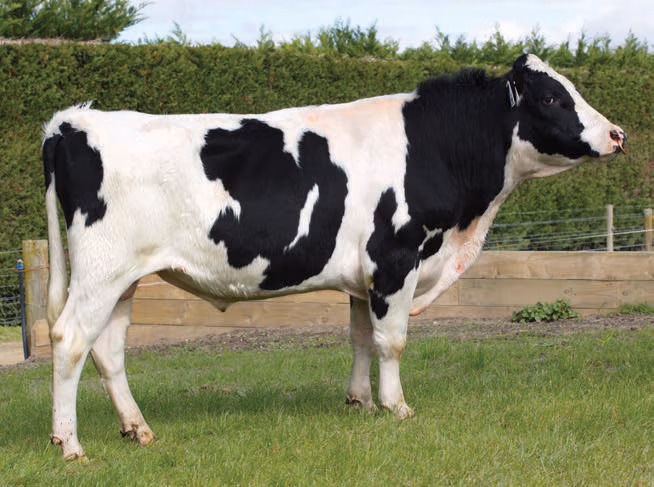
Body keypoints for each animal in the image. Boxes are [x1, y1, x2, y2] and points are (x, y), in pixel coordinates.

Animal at [42, 54, 625, 460]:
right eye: (551, 98)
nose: (617, 134)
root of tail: (73, 122)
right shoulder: (396, 257)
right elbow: (392, 341)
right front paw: (396, 407)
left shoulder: (366, 276)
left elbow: (361, 337)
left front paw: (360, 402)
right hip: (100, 272)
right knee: (70, 340)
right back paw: (70, 445)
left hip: (125, 278)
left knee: (108, 350)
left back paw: (137, 429)